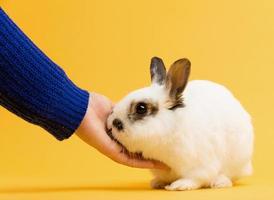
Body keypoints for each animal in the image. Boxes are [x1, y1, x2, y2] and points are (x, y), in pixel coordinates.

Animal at [106, 56, 254, 191]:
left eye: (141, 108)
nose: (112, 123)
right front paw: (158, 183)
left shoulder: (201, 166)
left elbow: (196, 178)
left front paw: (179, 186)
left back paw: (219, 182)